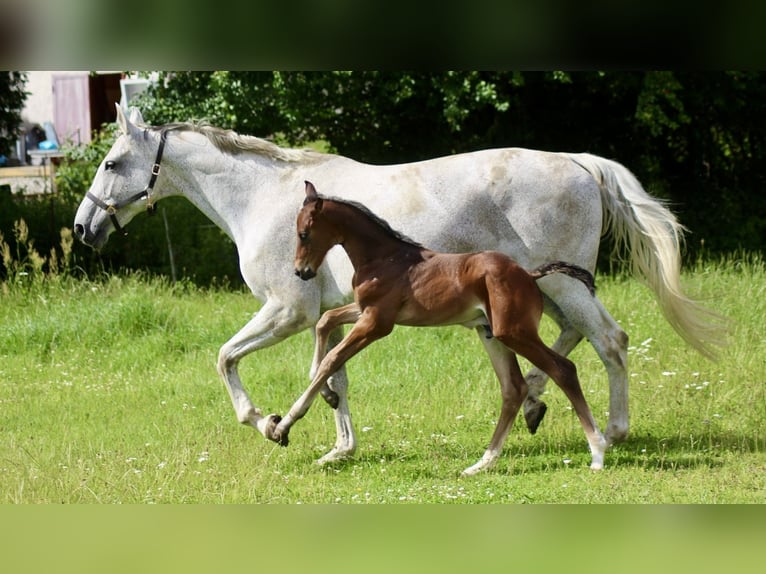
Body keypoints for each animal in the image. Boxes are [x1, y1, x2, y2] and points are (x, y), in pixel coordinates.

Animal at [268, 182, 608, 474]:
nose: (301, 272)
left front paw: (282, 427)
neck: (383, 258)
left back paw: (597, 451)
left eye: (304, 233)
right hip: (491, 333)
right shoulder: (365, 312)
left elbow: (332, 358)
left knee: (563, 370)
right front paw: (327, 395)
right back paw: (482, 464)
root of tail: (528, 274)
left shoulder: (377, 323)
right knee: (514, 388)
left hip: (513, 332)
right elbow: (326, 321)